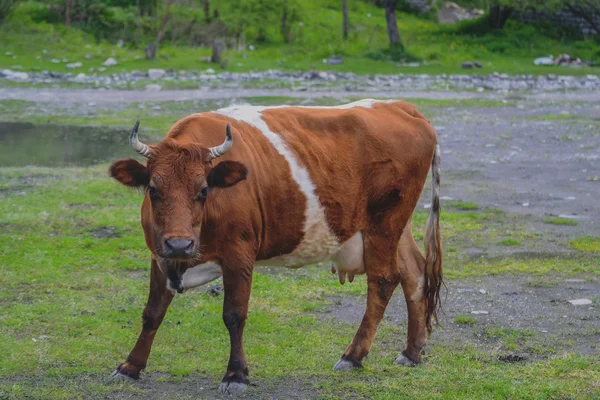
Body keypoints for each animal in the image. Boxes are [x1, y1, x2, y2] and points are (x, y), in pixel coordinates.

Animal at [110, 98, 442, 396]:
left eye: (203, 190)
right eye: (153, 189)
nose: (180, 243)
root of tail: (399, 106)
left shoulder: (239, 254)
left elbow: (234, 315)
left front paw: (236, 374)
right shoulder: (159, 255)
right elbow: (152, 312)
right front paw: (130, 366)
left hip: (384, 222)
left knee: (383, 280)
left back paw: (353, 356)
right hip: (396, 227)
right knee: (414, 273)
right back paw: (411, 352)